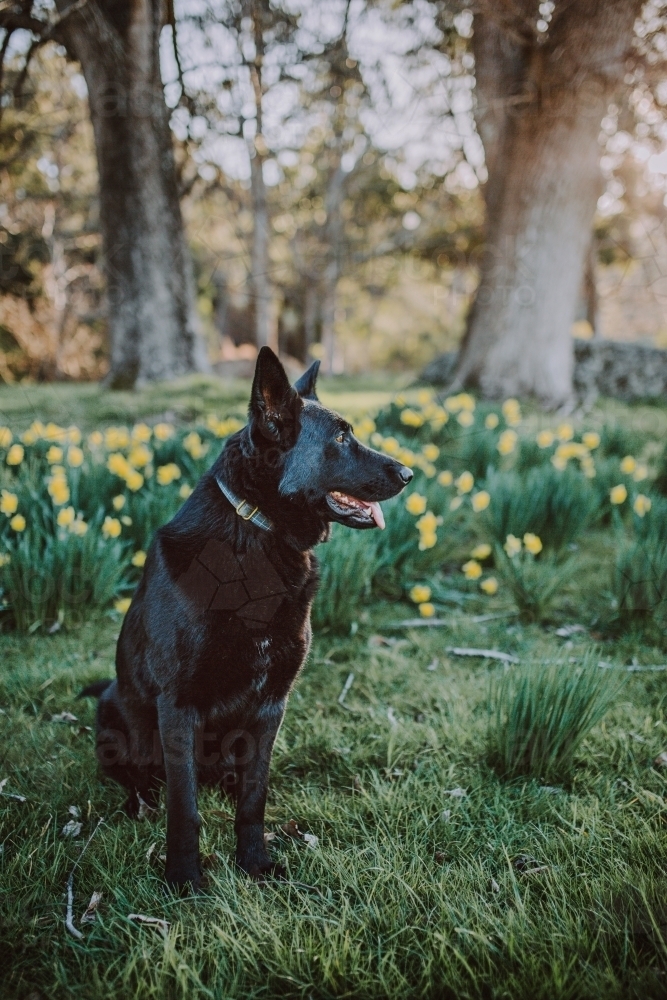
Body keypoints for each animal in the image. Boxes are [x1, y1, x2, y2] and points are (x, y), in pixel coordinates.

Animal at [83, 348, 412, 888]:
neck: (257, 531)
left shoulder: (272, 705)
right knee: (137, 776)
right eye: (341, 437)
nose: (409, 474)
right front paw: (185, 879)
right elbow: (185, 807)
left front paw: (254, 863)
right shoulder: (179, 706)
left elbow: (254, 798)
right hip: (113, 708)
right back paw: (140, 802)